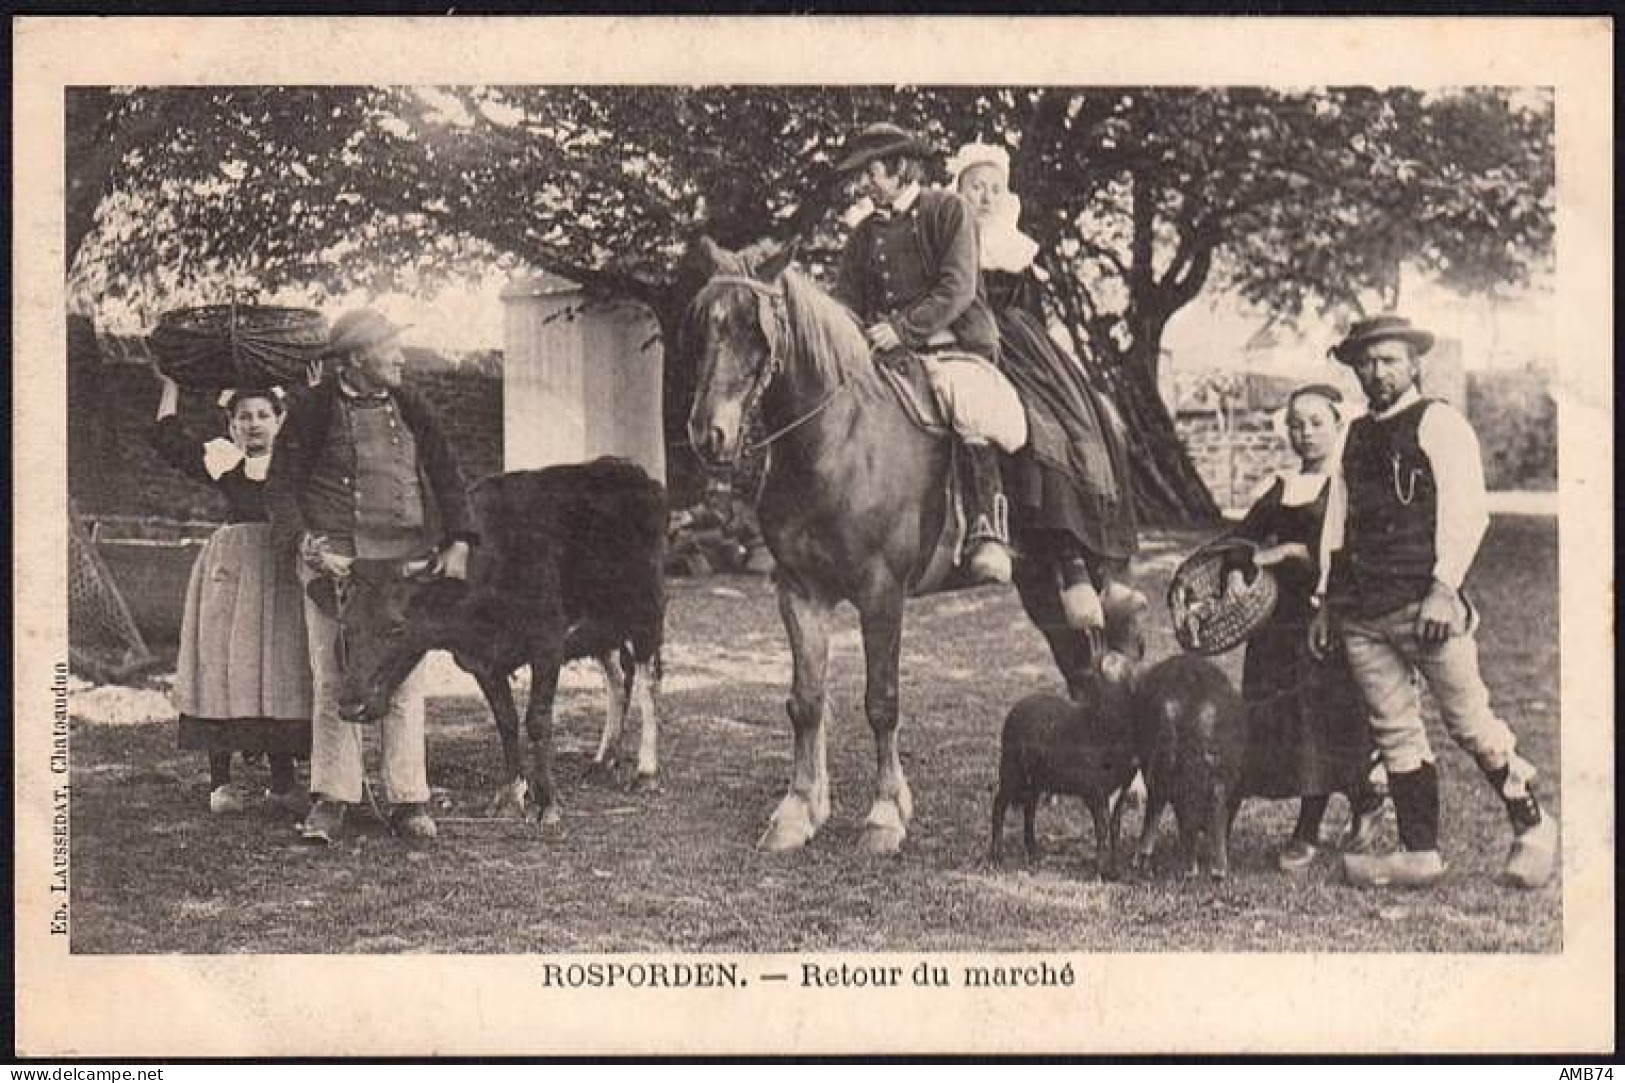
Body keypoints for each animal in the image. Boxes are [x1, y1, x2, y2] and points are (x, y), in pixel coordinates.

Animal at [336, 455, 666, 819]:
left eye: (396, 627)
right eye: (345, 624)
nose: (351, 705)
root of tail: (629, 469)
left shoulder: (547, 645)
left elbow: (537, 719)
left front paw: (547, 801)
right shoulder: (481, 661)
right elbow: (506, 720)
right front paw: (511, 794)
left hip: (647, 613)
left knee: (648, 681)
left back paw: (646, 772)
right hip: (599, 629)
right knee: (618, 677)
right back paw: (603, 760)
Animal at [682, 242, 1118, 852]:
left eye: (754, 327)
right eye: (703, 326)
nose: (709, 435)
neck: (837, 441)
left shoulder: (881, 593)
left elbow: (881, 702)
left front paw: (885, 815)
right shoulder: (798, 590)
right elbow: (806, 700)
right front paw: (797, 812)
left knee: (1096, 661)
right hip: (1038, 587)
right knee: (1076, 665)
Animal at [981, 582, 1150, 878]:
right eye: (1105, 669)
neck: (1104, 727)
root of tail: (1017, 708)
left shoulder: (1119, 787)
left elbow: (1114, 828)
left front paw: (1114, 869)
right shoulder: (1093, 789)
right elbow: (1101, 829)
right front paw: (1100, 870)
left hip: (1037, 777)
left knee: (1029, 807)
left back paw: (1033, 850)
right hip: (1011, 767)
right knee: (1000, 803)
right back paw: (996, 855)